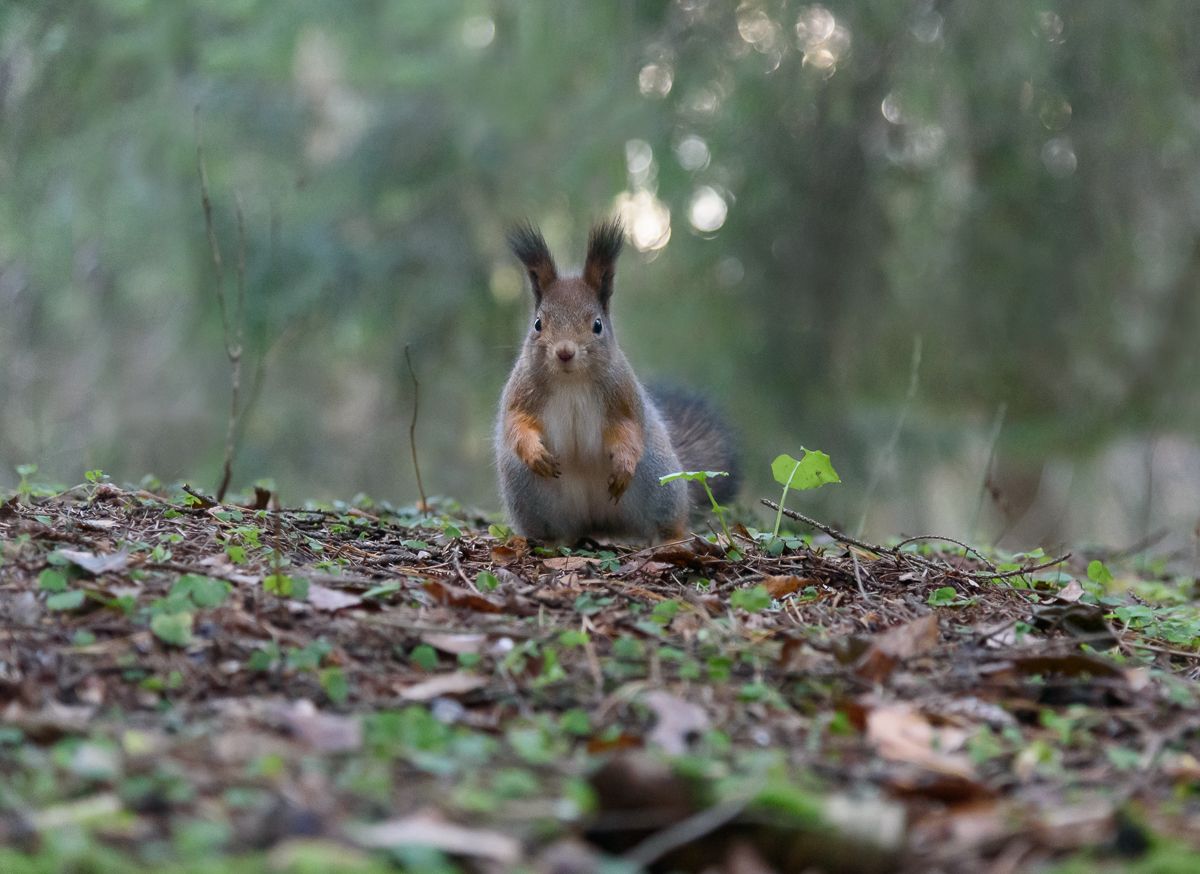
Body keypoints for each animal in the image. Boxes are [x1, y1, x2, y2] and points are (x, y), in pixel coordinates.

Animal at [494, 218, 738, 544]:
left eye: (597, 325)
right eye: (537, 324)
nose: (565, 352)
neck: (571, 381)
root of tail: (598, 523)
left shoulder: (623, 394)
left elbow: (629, 427)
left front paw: (623, 464)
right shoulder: (521, 392)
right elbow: (516, 424)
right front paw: (536, 454)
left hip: (658, 481)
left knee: (668, 522)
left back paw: (673, 539)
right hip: (527, 493)